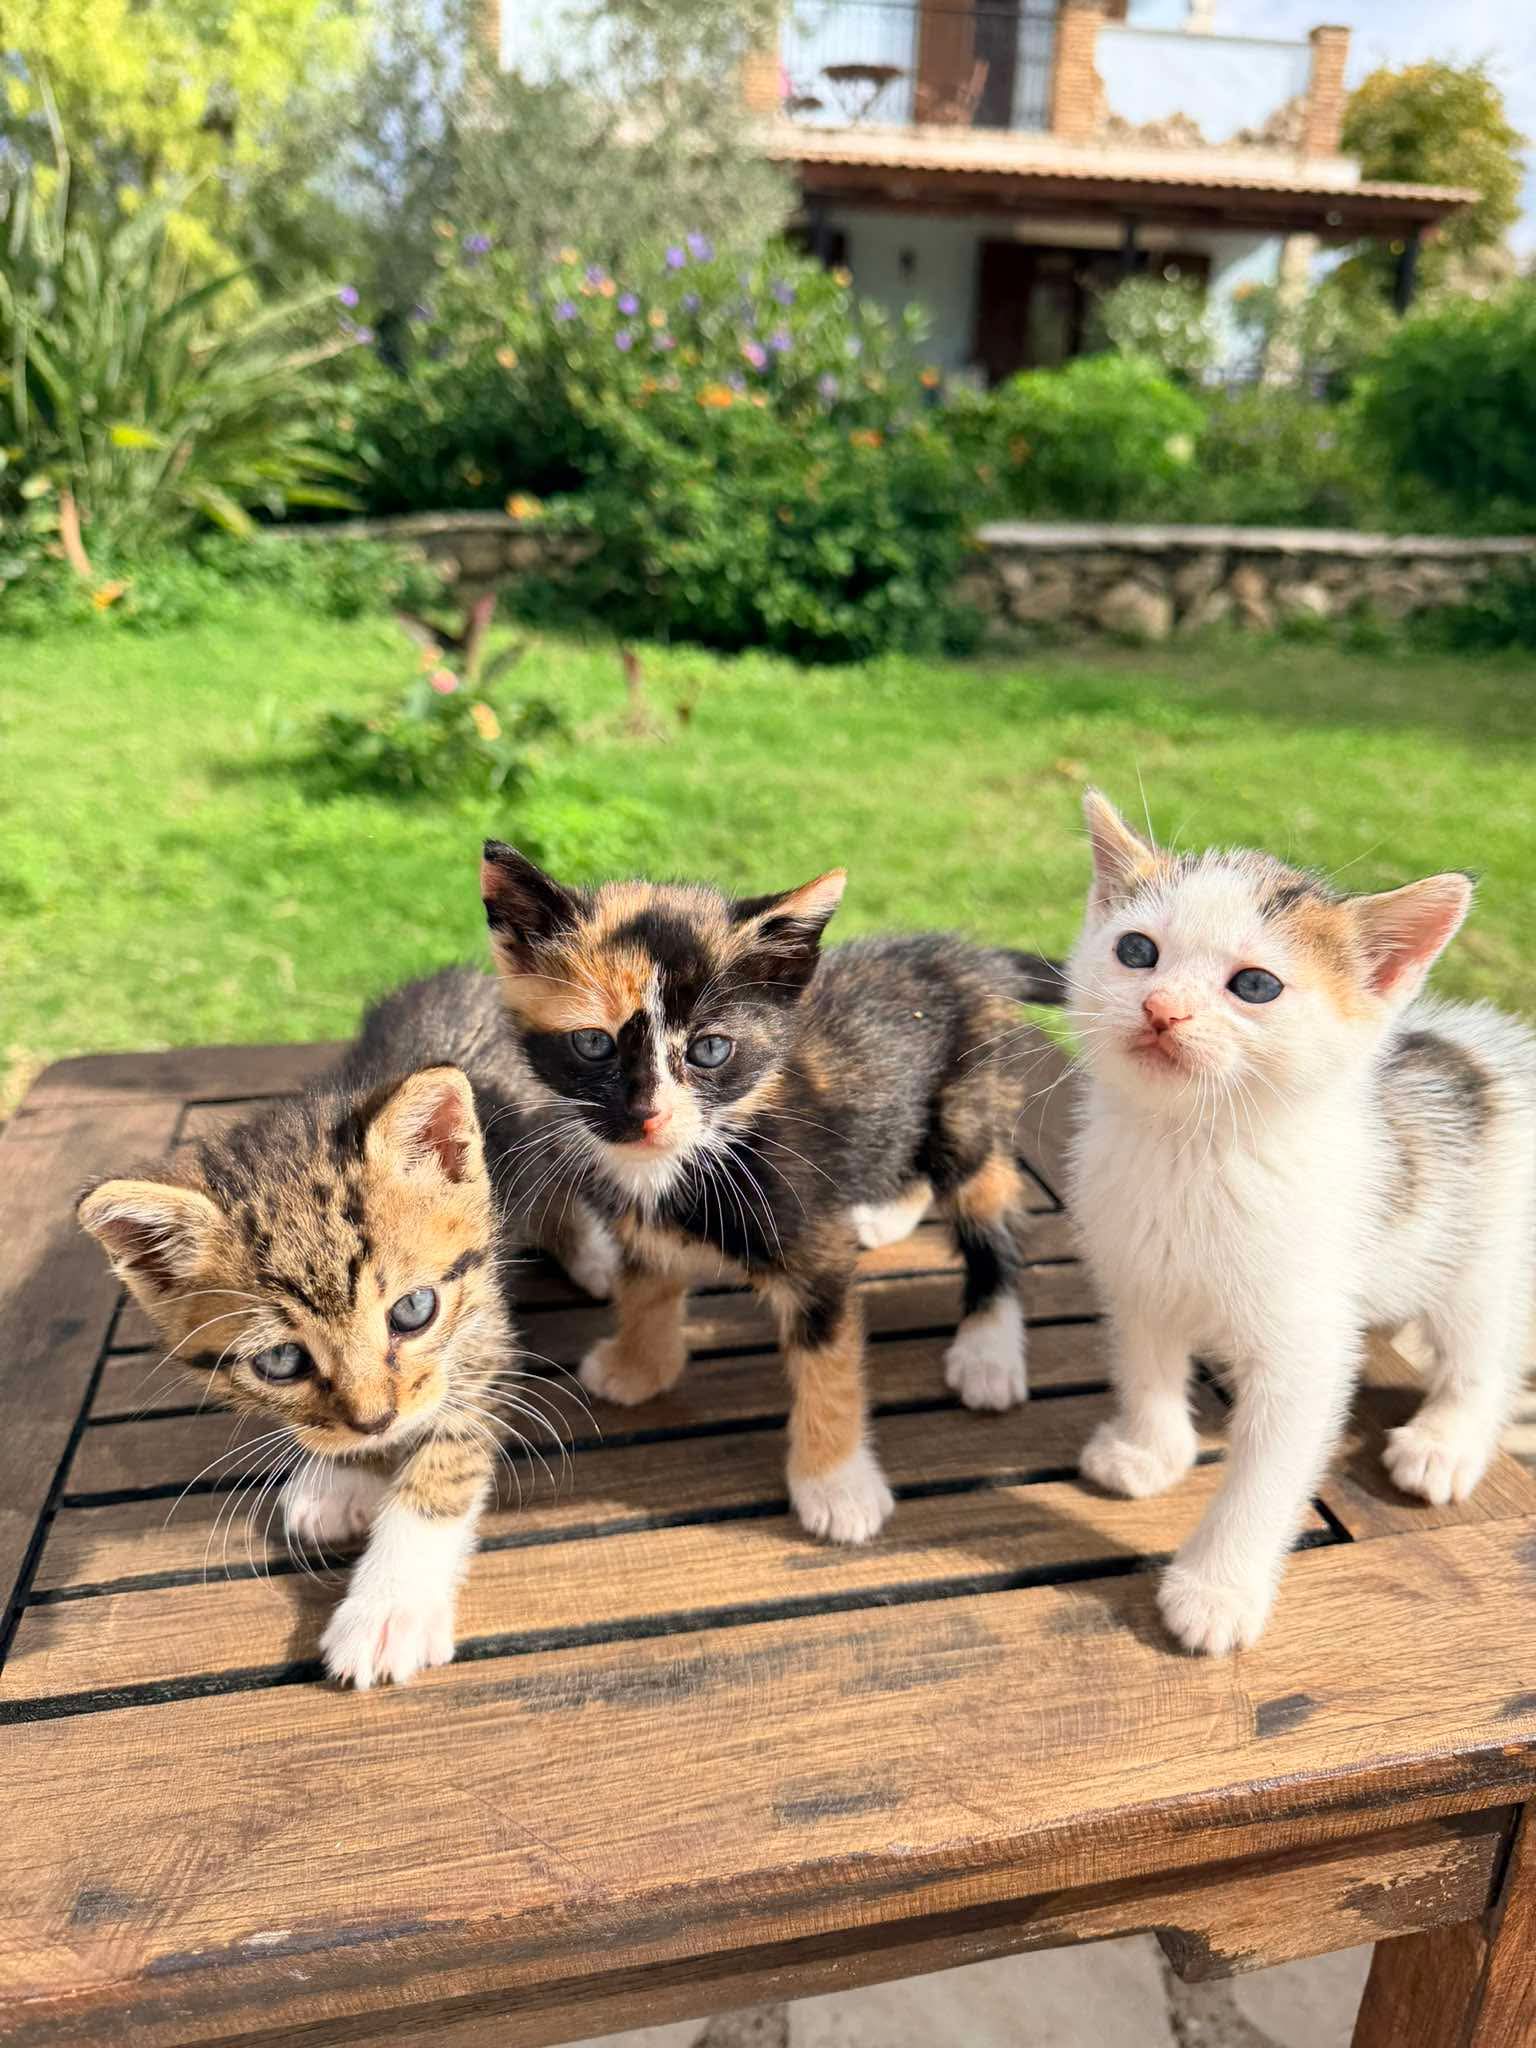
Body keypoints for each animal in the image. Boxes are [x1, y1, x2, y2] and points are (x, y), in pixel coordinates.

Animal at [77, 966, 616, 1689]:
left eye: (413, 1312)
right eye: (282, 1361)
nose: (376, 1422)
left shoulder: (478, 1338)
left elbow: (444, 1459)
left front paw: (390, 1606)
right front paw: (338, 1473)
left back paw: (592, 1254)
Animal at [479, 841, 1062, 1544]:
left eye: (710, 1049)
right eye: (592, 1042)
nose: (647, 1116)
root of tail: (970, 956)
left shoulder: (816, 1240)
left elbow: (828, 1361)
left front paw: (836, 1485)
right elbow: (645, 1281)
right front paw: (640, 1366)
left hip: (967, 1104)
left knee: (988, 1211)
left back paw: (989, 1350)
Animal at [1066, 790, 1535, 1655]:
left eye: (1254, 985)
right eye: (1136, 950)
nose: (1160, 1008)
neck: (1194, 1152)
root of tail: (1482, 1053)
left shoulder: (1307, 1344)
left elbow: (1269, 1471)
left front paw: (1217, 1591)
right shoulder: (1138, 1274)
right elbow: (1147, 1364)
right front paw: (1152, 1451)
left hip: (1488, 1245)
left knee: (1483, 1344)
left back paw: (1447, 1441)